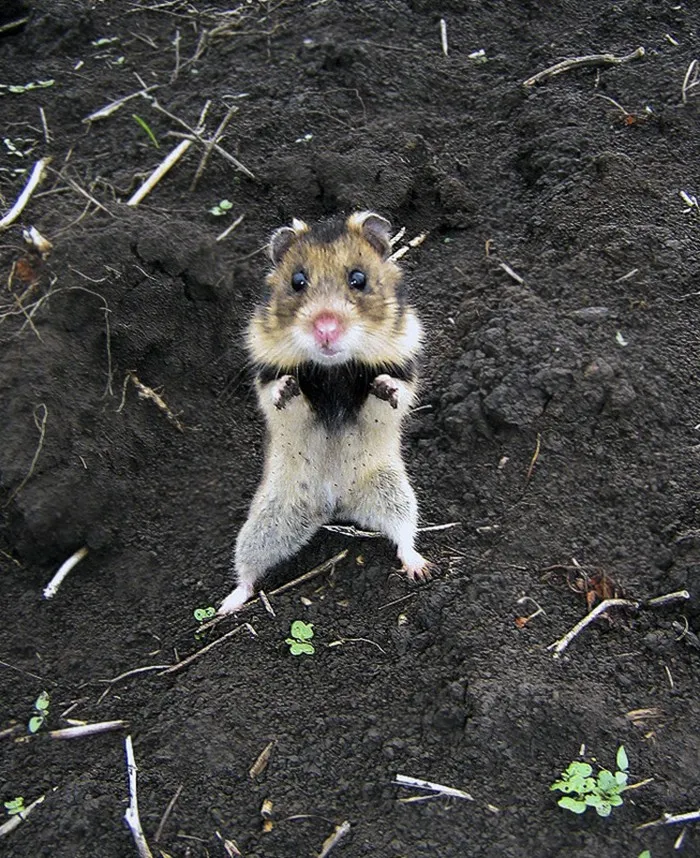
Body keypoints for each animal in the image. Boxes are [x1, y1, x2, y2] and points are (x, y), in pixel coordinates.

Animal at [218, 211, 430, 615]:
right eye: (297, 281)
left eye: (358, 279)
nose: (326, 330)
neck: (333, 371)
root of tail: (334, 503)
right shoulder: (266, 381)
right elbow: (282, 398)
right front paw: (289, 387)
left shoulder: (404, 370)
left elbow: (391, 394)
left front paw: (384, 387)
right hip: (268, 519)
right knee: (248, 569)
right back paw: (227, 604)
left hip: (394, 491)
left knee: (403, 534)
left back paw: (421, 568)